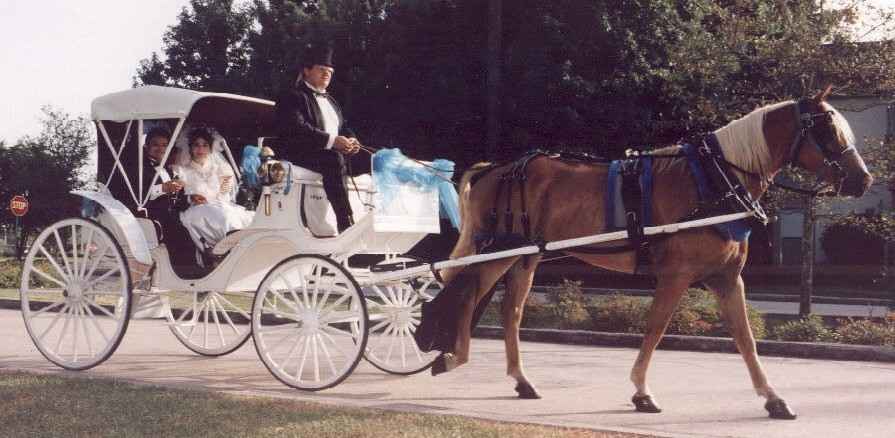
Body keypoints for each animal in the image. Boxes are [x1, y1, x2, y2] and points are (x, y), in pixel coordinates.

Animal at [426, 87, 872, 420]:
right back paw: (451, 357)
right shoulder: (676, 276)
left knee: (511, 312)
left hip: (527, 258)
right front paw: (642, 392)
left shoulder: (727, 278)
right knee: (467, 293)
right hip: (497, 253)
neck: (714, 179)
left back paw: (520, 380)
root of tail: (494, 169)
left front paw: (773, 398)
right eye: (828, 129)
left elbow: (746, 339)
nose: (863, 179)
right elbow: (656, 329)